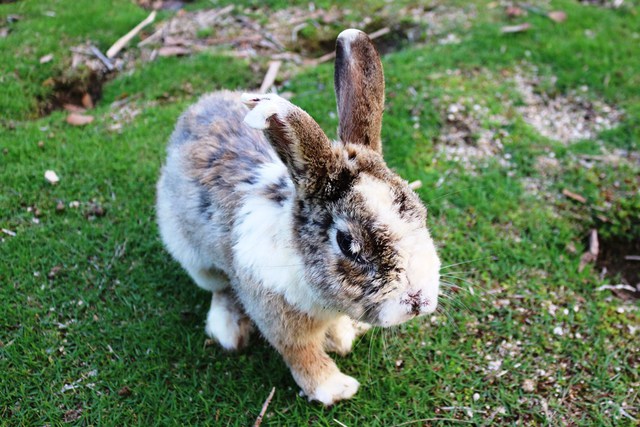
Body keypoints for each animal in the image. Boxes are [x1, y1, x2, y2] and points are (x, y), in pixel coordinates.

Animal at [158, 29, 442, 404]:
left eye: (417, 207)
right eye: (347, 243)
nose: (420, 301)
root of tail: (196, 109)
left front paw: (342, 337)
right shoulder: (280, 321)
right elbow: (302, 355)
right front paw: (335, 388)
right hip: (195, 259)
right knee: (221, 289)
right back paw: (228, 329)